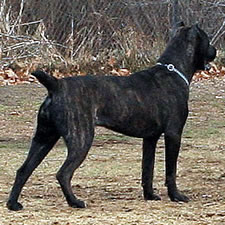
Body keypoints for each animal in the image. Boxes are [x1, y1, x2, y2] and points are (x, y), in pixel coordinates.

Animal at [7, 23, 216, 210]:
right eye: (207, 40)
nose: (215, 50)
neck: (172, 70)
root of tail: (56, 85)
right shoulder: (173, 134)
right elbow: (170, 171)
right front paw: (176, 196)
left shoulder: (150, 139)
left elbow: (147, 170)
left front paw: (150, 195)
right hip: (81, 139)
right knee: (63, 173)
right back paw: (75, 202)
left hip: (44, 138)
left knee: (23, 170)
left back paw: (13, 204)